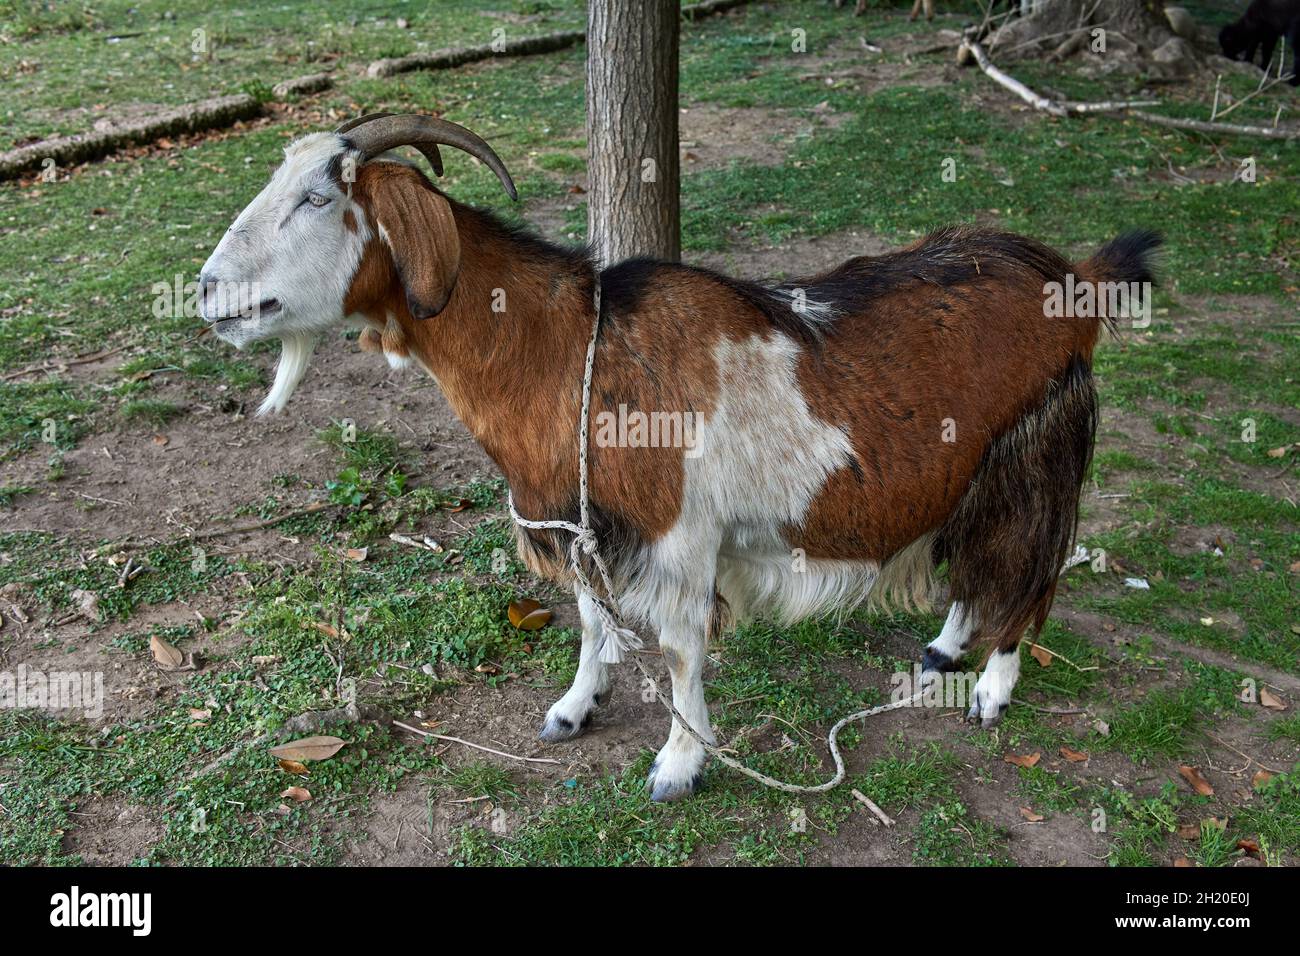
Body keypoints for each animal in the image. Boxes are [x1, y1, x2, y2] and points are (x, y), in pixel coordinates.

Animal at [200, 111, 1159, 801]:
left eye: (319, 199)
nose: (207, 291)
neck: (569, 351)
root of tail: (1073, 278)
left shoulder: (680, 535)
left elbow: (679, 649)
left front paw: (678, 765)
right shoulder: (586, 522)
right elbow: (592, 620)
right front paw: (574, 710)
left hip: (1036, 453)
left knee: (1032, 571)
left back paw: (993, 688)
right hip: (969, 469)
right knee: (971, 556)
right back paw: (943, 649)